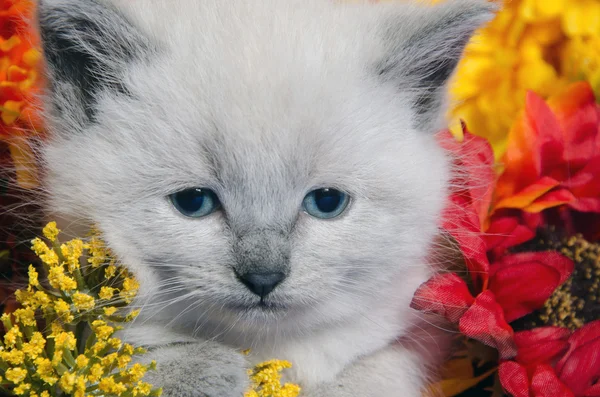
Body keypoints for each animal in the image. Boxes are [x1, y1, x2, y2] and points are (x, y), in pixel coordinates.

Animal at [38, 1, 492, 394]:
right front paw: (208, 369)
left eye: (327, 202)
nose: (263, 278)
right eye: (193, 202)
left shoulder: (418, 328)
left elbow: (375, 373)